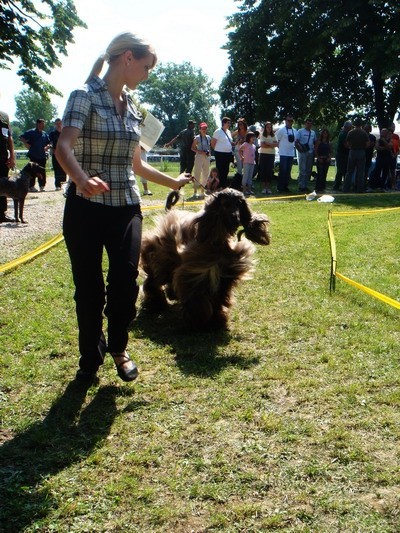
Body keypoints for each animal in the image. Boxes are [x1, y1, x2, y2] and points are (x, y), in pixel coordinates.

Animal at [141, 187, 272, 328]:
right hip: (161, 256)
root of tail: (170, 213)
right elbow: (197, 299)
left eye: (239, 203)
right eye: (225, 204)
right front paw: (198, 320)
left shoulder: (225, 277)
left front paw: (217, 319)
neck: (217, 242)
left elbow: (219, 298)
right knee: (154, 279)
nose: (236, 220)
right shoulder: (196, 274)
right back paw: (155, 303)